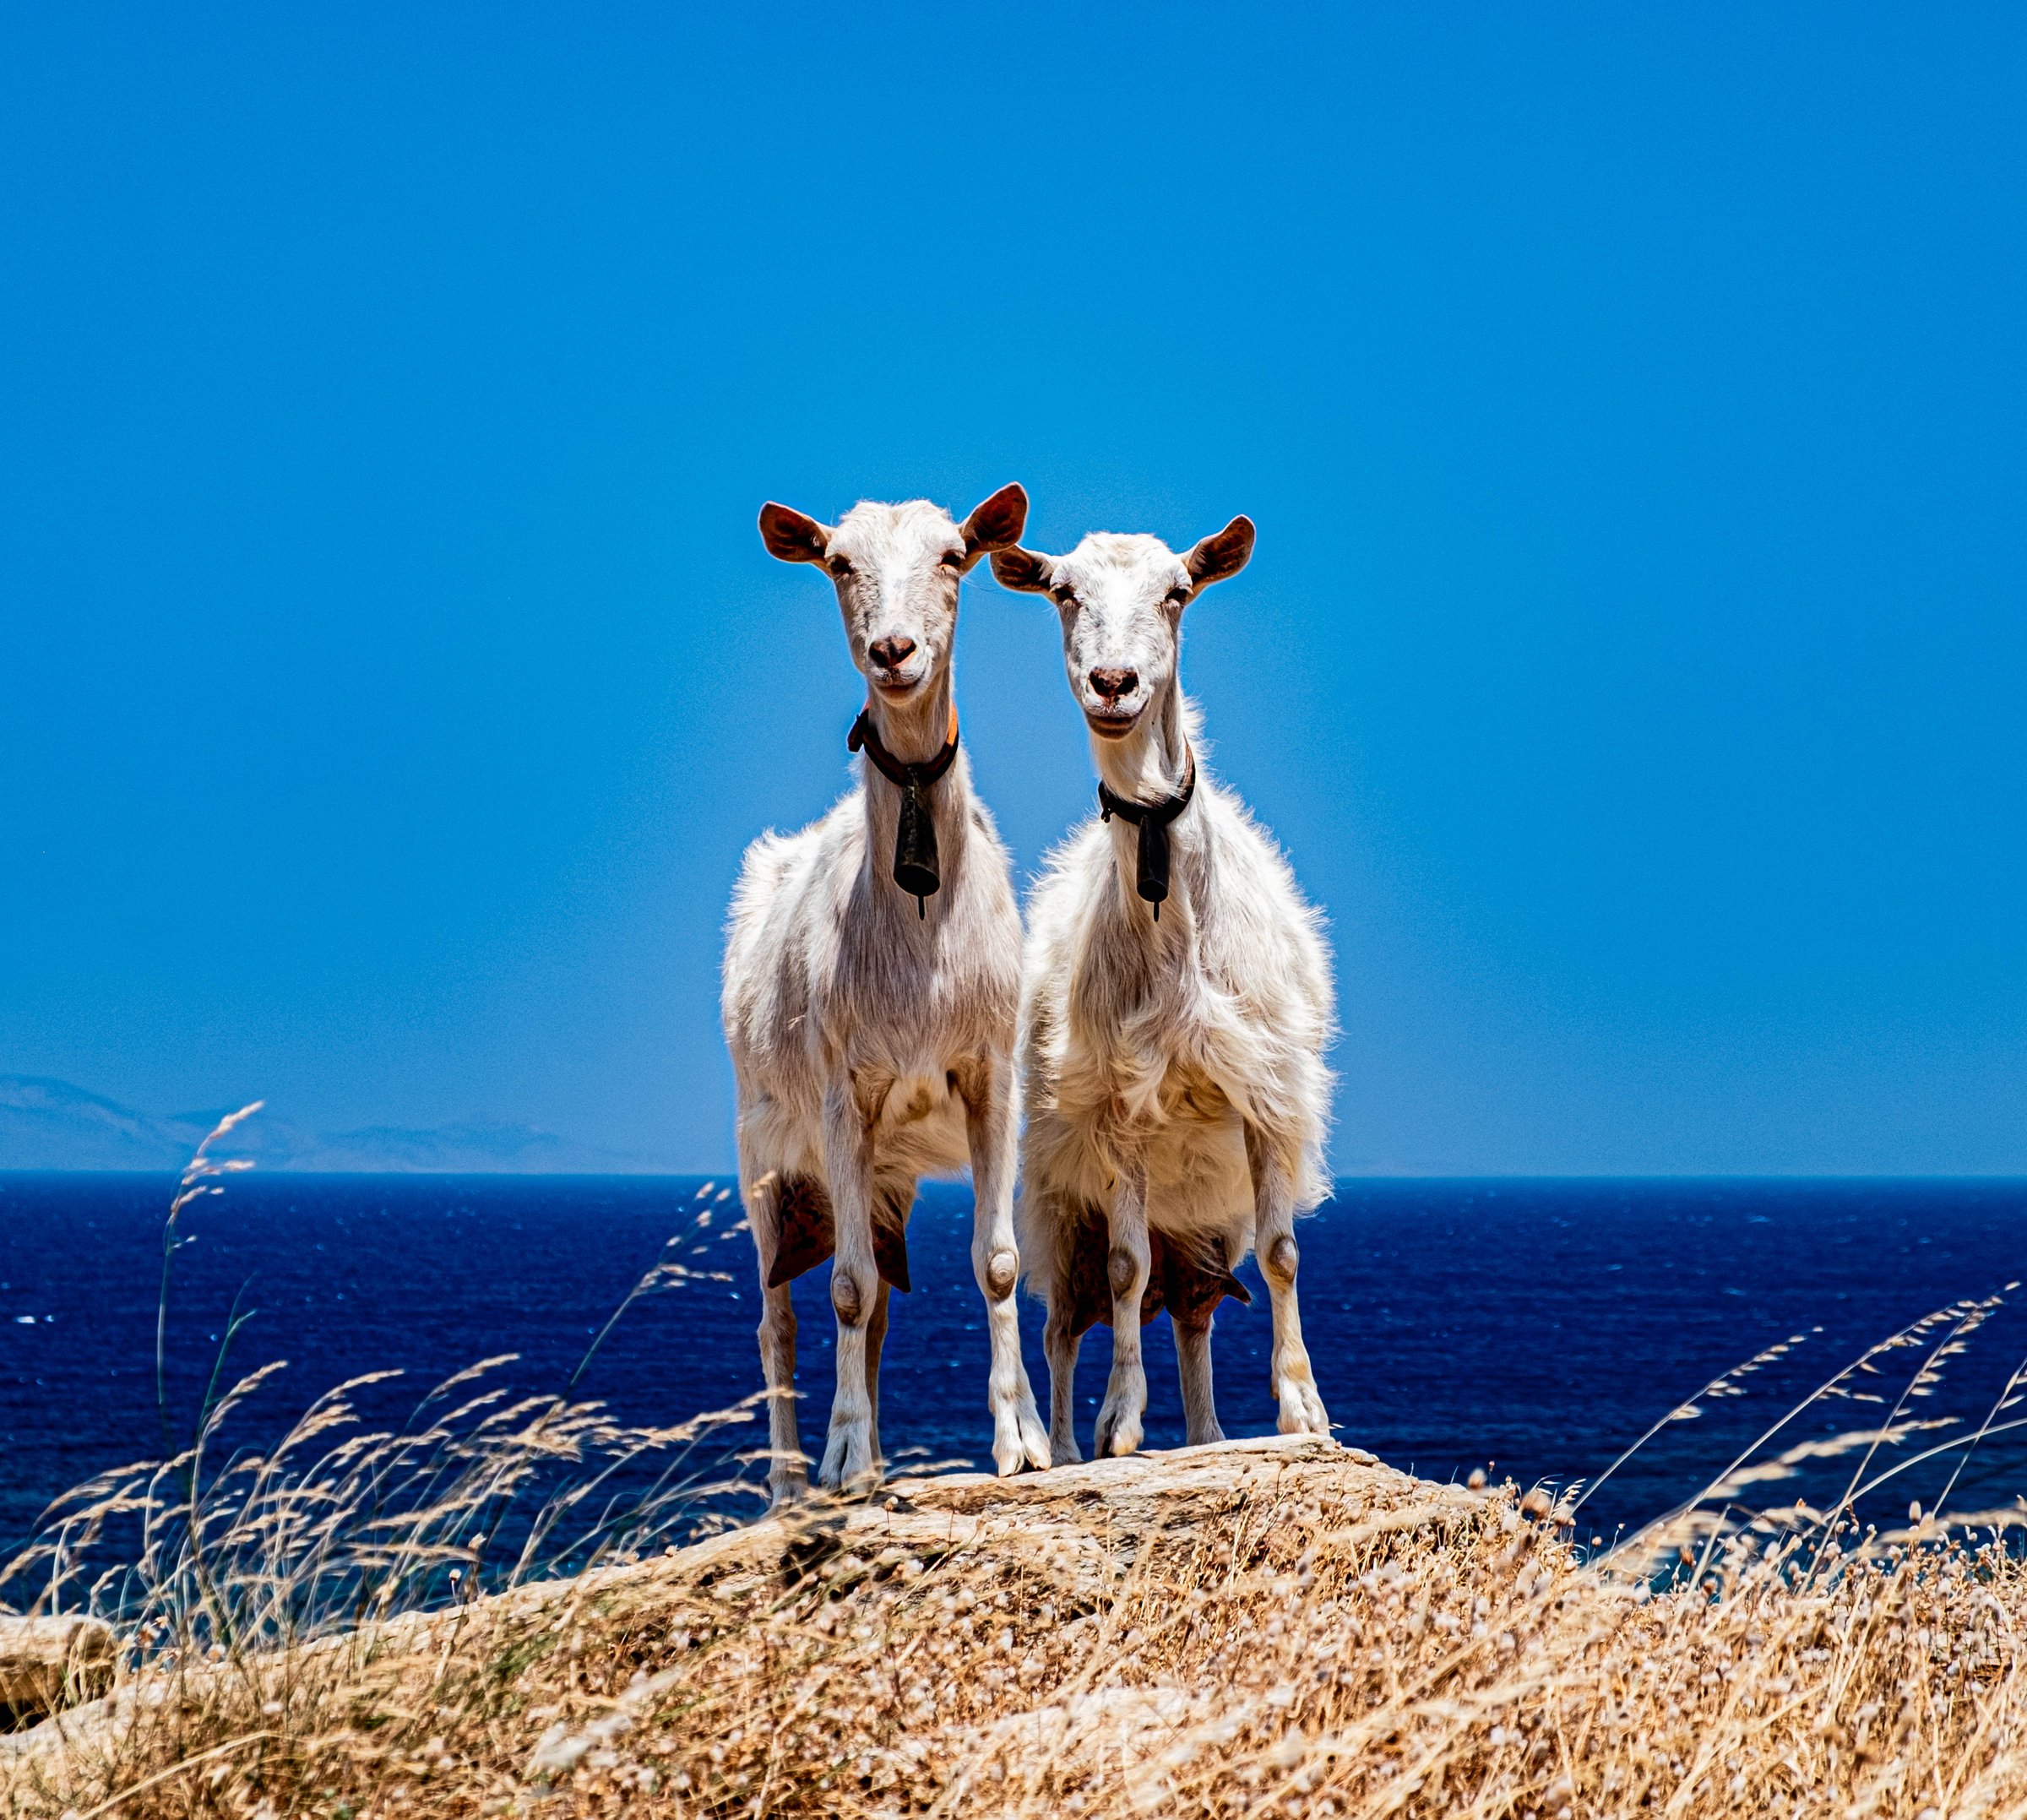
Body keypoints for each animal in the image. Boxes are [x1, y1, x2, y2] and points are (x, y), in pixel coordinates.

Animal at [724, 487, 1052, 1504]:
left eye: (954, 556)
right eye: (838, 562)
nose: (894, 650)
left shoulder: (990, 1075)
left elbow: (996, 1264)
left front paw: (1022, 1440)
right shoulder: (841, 1091)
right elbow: (845, 1290)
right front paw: (846, 1457)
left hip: (879, 1174)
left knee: (870, 1305)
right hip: (765, 1152)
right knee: (781, 1317)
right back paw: (796, 1483)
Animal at [993, 517, 1336, 1461]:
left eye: (1178, 592)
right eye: (1063, 593)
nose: (1114, 684)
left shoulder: (1267, 1090)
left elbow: (1283, 1253)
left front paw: (1304, 1409)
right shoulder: (1120, 1108)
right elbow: (1125, 1267)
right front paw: (1119, 1421)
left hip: (1202, 1235)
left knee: (1192, 1315)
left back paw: (1210, 1434)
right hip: (1062, 1213)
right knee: (1065, 1326)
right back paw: (1062, 1447)